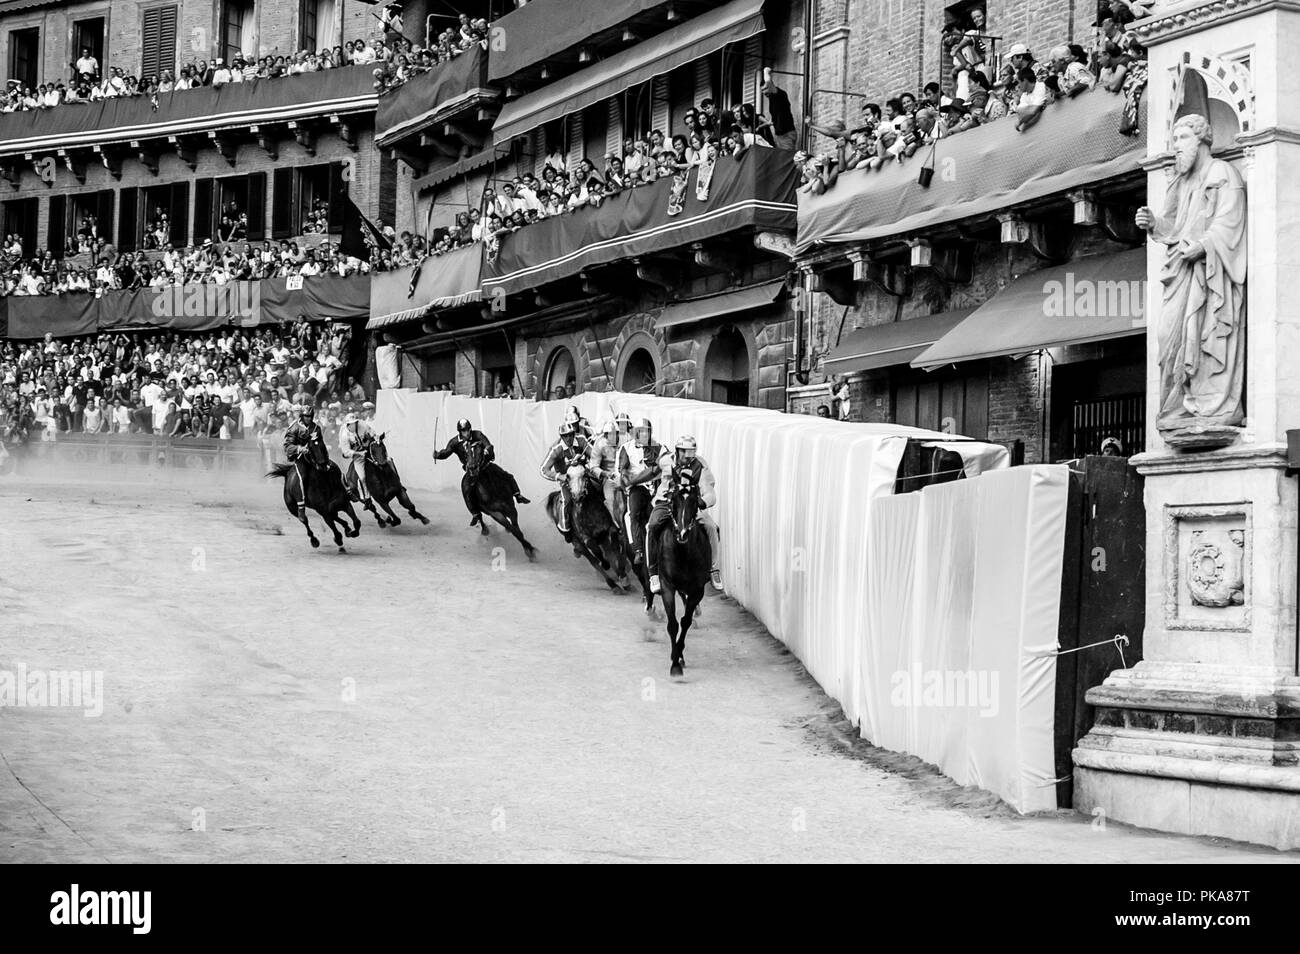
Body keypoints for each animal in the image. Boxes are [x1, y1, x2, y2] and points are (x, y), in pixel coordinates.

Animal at [546, 465, 631, 595]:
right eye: (568, 476)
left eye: (584, 475)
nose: (577, 496)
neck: (590, 509)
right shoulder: (585, 538)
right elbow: (596, 552)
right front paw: (606, 564)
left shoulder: (609, 529)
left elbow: (615, 544)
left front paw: (623, 576)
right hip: (577, 543)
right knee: (594, 562)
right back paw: (613, 585)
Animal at [655, 473, 717, 681]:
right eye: (673, 499)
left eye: (694, 501)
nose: (682, 533)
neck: (682, 552)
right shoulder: (667, 585)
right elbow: (673, 624)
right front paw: (675, 664)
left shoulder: (697, 589)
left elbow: (685, 621)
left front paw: (679, 656)